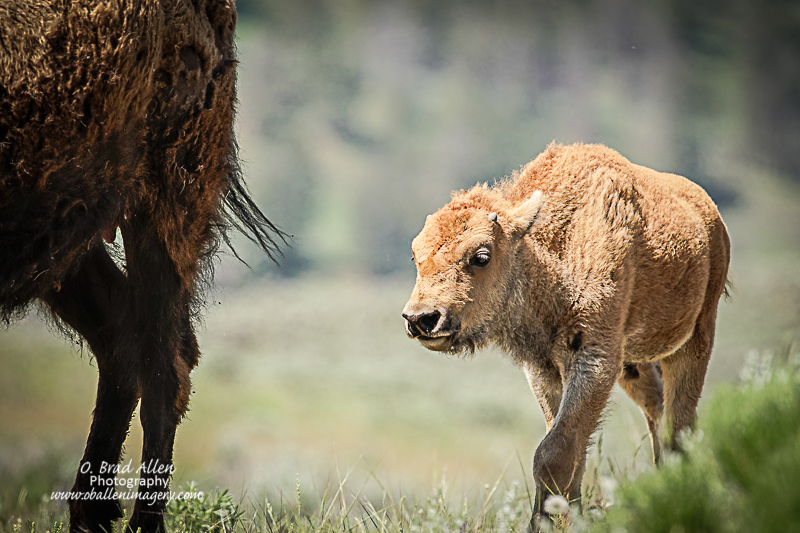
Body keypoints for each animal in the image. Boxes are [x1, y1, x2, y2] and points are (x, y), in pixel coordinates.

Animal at [0, 1, 282, 532]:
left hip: (162, 198)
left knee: (163, 363)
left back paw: (134, 522)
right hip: (71, 237)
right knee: (121, 337)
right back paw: (91, 516)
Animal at [404, 142, 728, 528]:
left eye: (481, 256)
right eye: (415, 255)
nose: (421, 318)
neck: (552, 254)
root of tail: (712, 217)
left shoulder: (594, 360)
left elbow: (553, 454)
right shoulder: (544, 370)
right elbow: (570, 456)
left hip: (695, 338)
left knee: (680, 425)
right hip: (636, 366)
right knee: (658, 413)